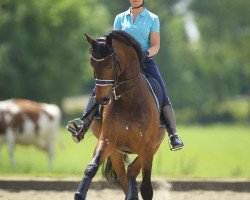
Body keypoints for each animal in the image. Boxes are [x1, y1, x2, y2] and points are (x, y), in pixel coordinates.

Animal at [75, 29, 167, 200]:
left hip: (152, 148)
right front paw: (79, 193)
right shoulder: (107, 141)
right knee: (125, 175)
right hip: (116, 153)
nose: (102, 99)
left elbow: (146, 187)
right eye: (92, 64)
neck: (129, 100)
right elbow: (91, 167)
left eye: (110, 64)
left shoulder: (147, 147)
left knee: (132, 171)